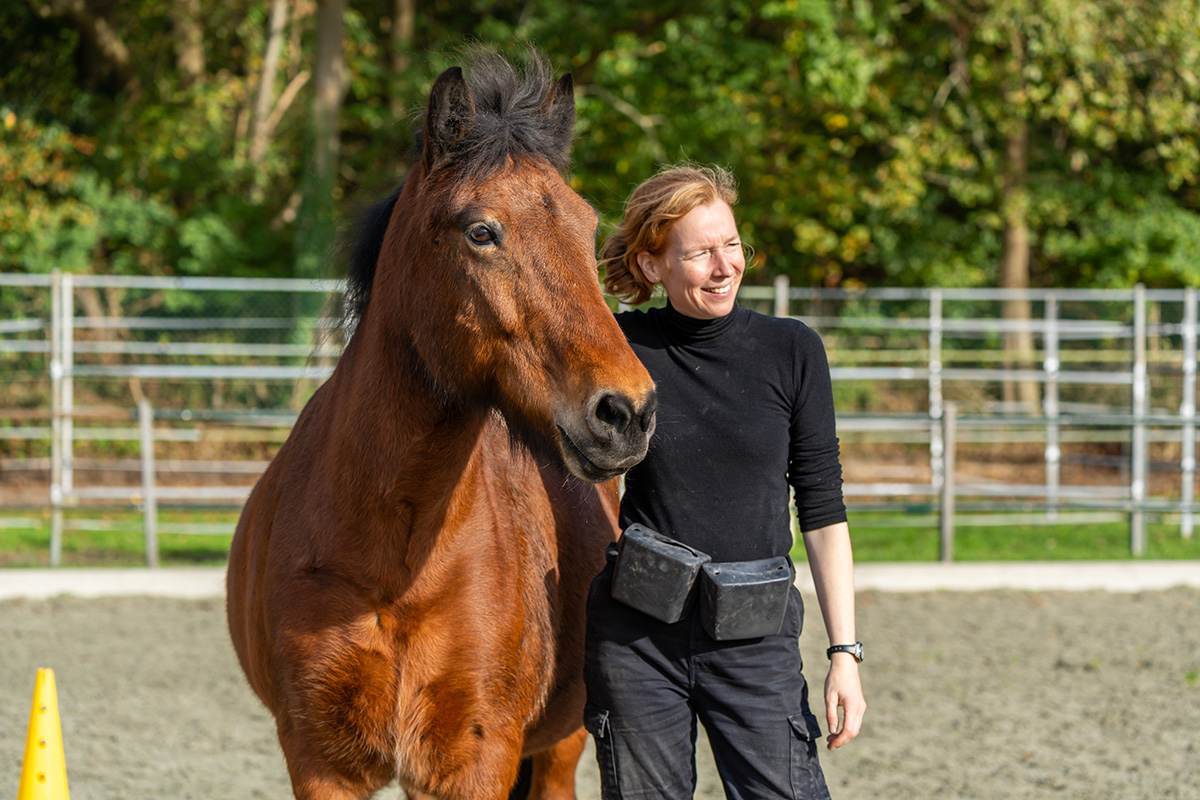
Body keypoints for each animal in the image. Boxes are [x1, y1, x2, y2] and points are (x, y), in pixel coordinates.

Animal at [226, 52, 657, 800]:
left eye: (586, 228)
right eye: (481, 231)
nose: (627, 411)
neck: (391, 559)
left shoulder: (472, 760)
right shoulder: (319, 762)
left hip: (561, 747)